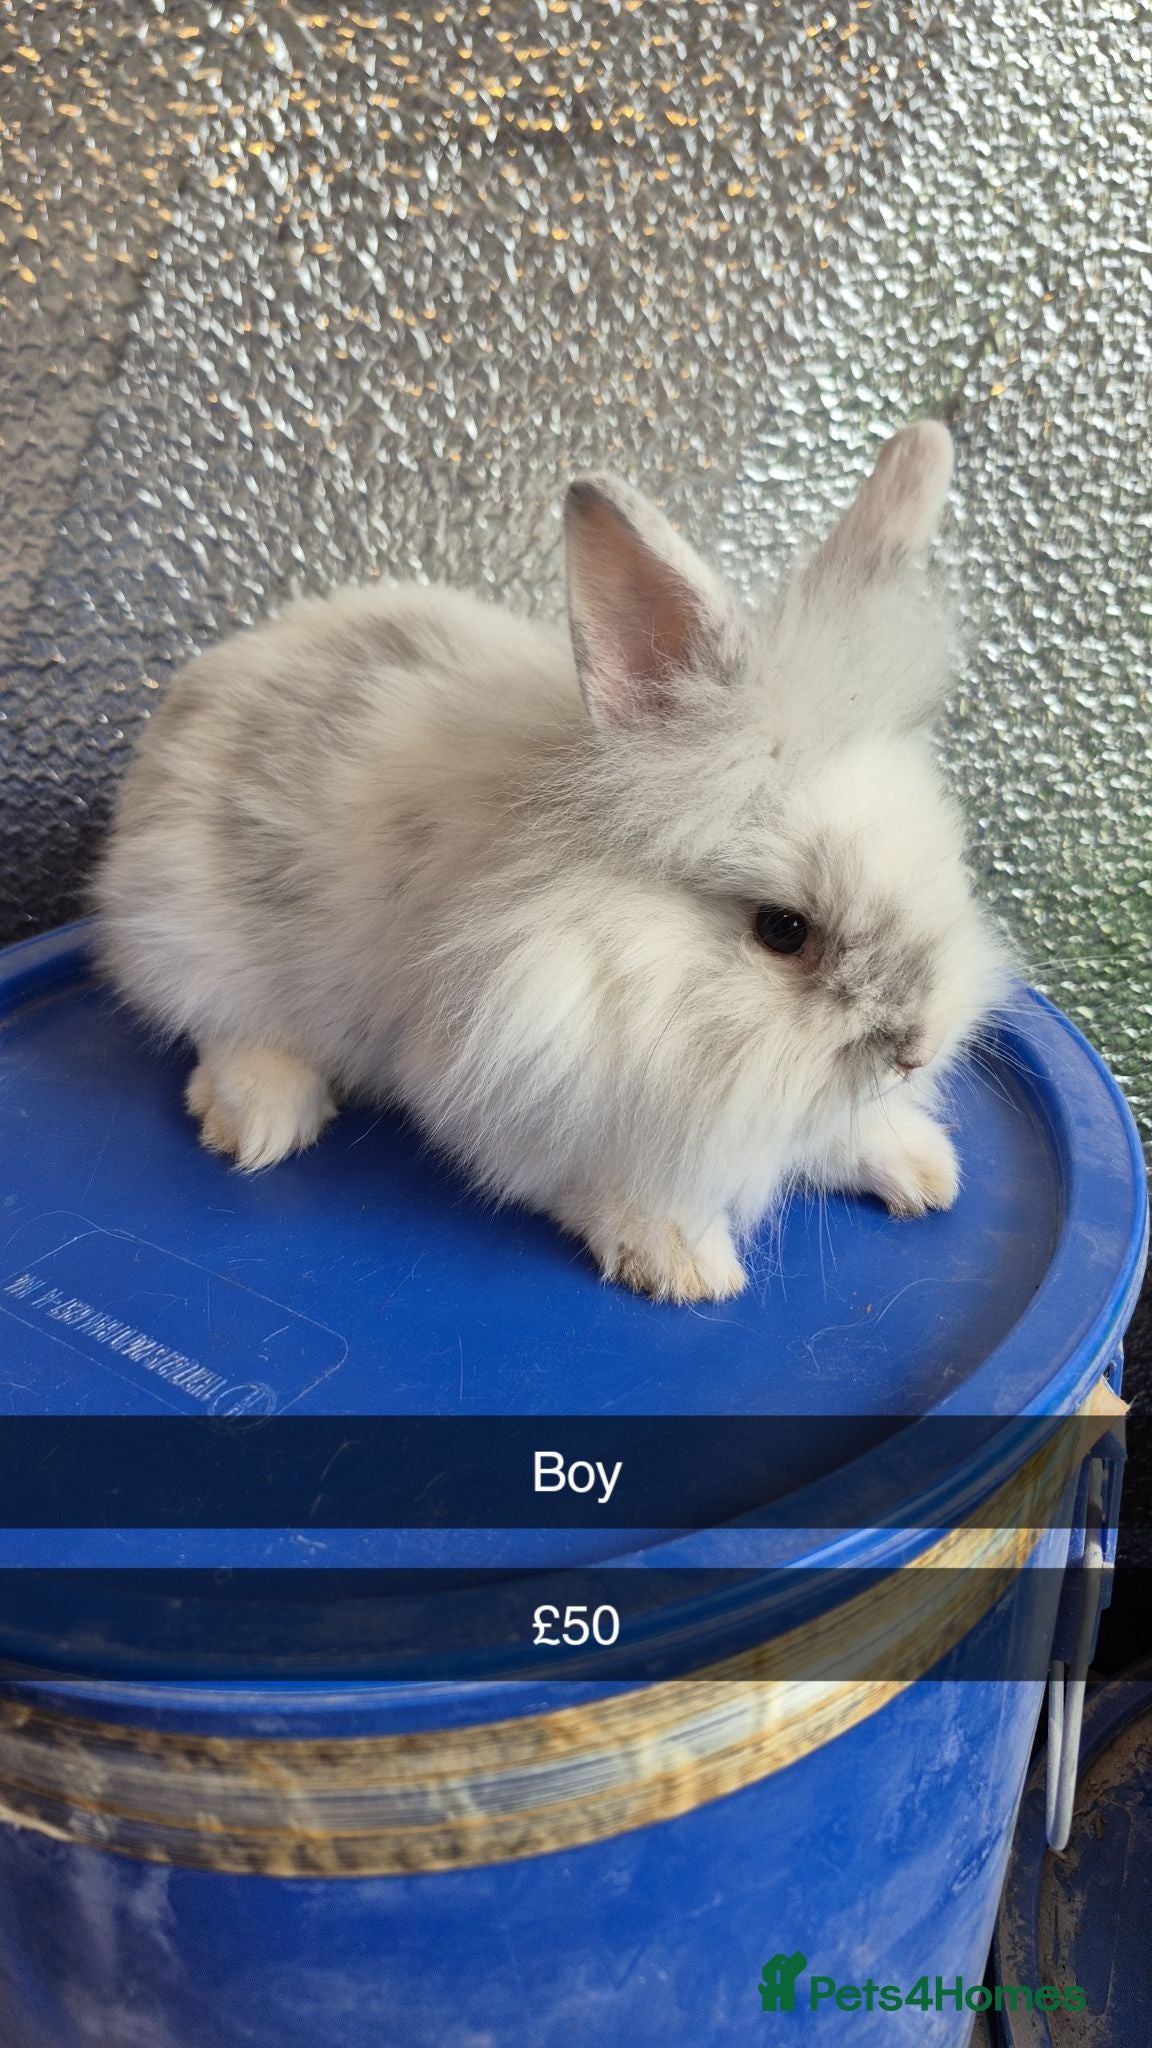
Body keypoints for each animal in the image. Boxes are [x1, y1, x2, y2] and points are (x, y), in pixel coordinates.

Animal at [94, 421, 1011, 1304]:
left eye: (946, 859)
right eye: (782, 929)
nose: (917, 1050)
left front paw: (923, 1167)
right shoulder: (510, 1096)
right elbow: (603, 1185)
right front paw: (679, 1260)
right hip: (191, 930)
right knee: (213, 1025)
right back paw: (261, 1118)